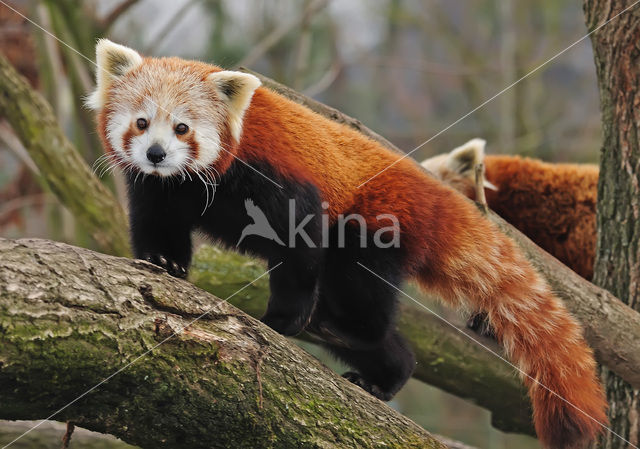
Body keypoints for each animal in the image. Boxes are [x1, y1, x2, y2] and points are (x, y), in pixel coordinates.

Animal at [89, 40, 604, 446]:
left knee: (359, 293)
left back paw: (344, 330)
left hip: (372, 225)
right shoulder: (159, 188)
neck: (196, 178)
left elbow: (298, 242)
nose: (157, 153)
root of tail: (427, 189)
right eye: (141, 123)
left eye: (182, 127)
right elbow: (158, 224)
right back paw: (384, 371)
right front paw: (162, 261)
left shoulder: (275, 174)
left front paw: (284, 317)